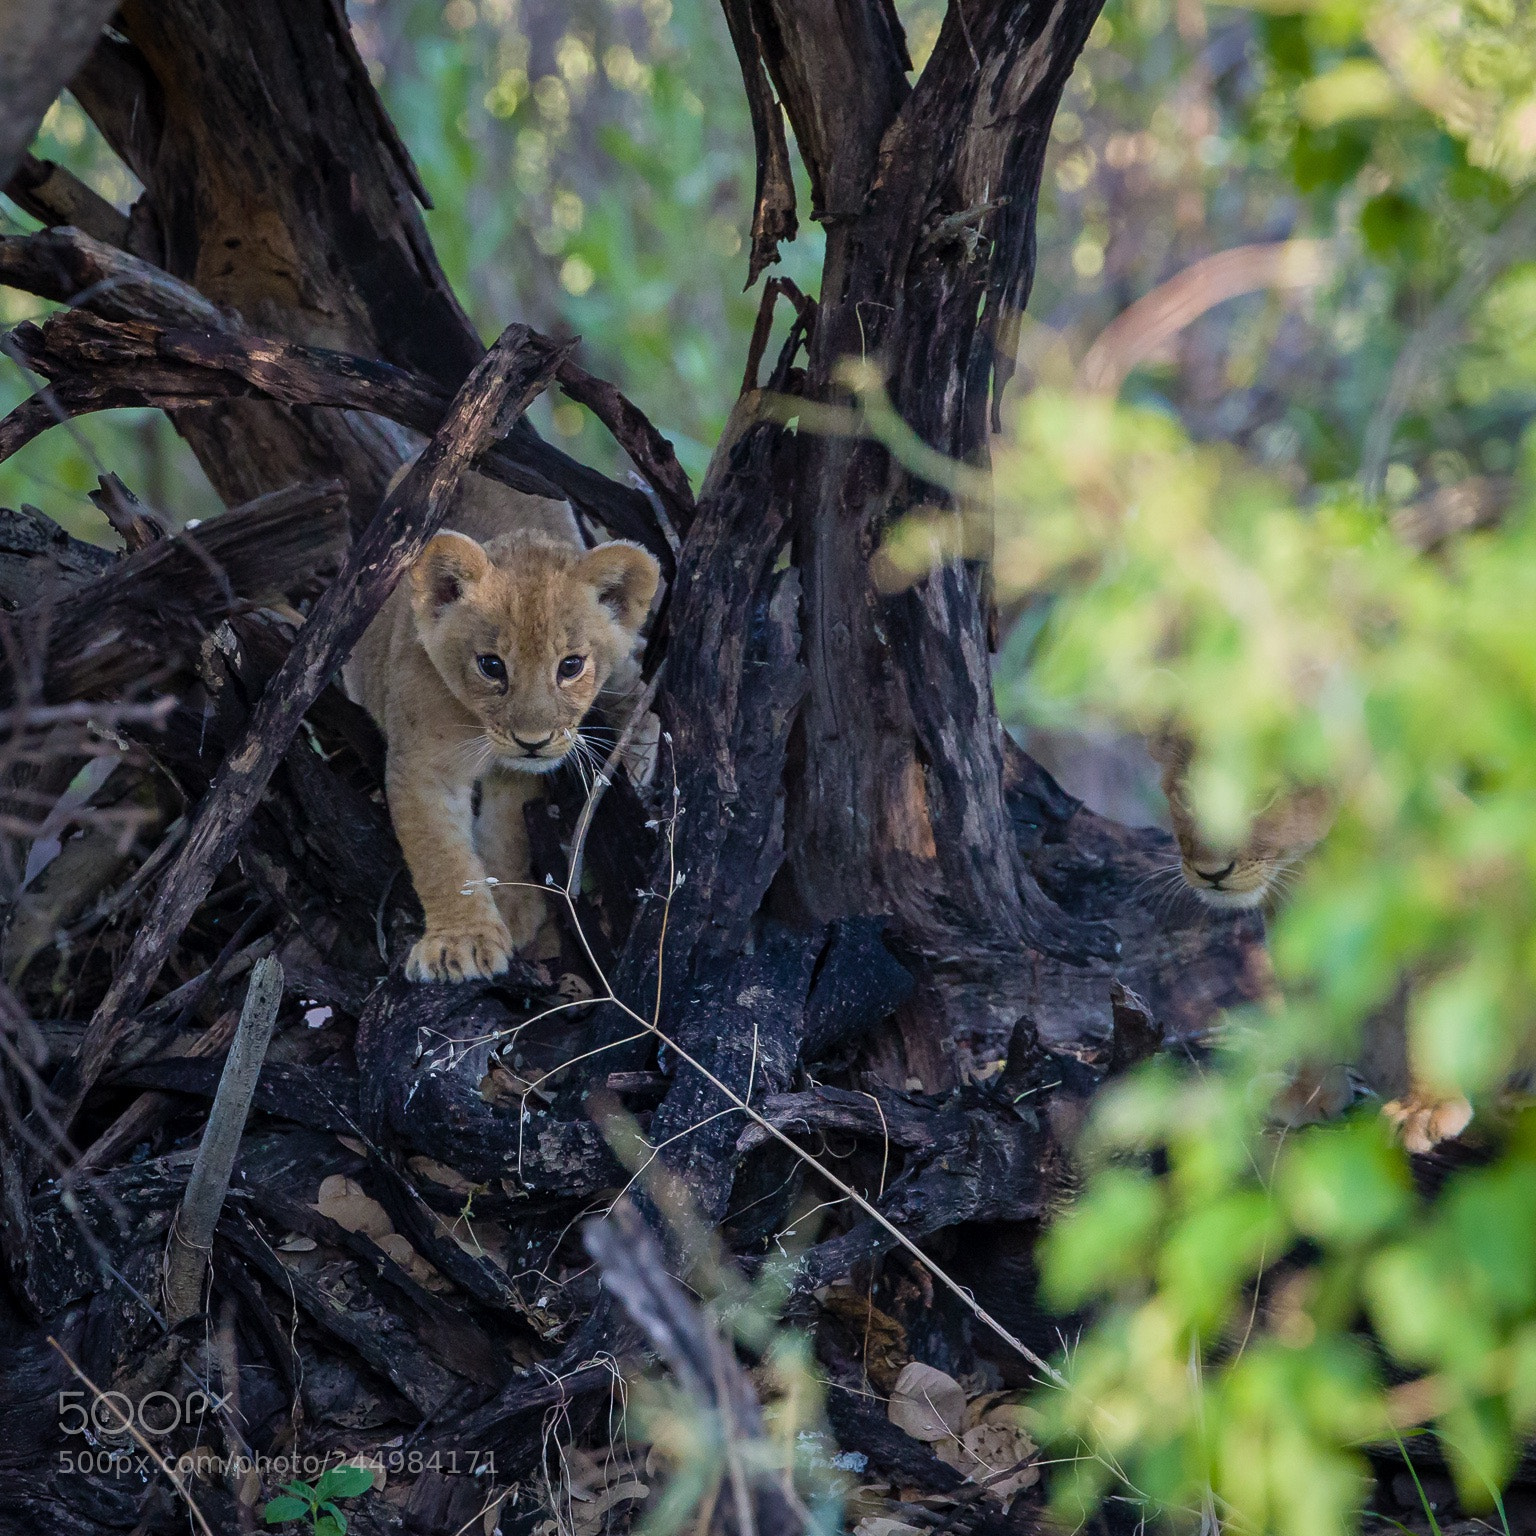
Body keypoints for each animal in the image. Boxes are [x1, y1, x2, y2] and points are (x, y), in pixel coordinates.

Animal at [345, 472, 660, 983]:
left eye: (570, 666)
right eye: (491, 666)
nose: (532, 741)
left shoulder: (523, 771)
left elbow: (511, 826)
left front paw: (511, 907)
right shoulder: (424, 765)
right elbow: (441, 854)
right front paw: (461, 942)